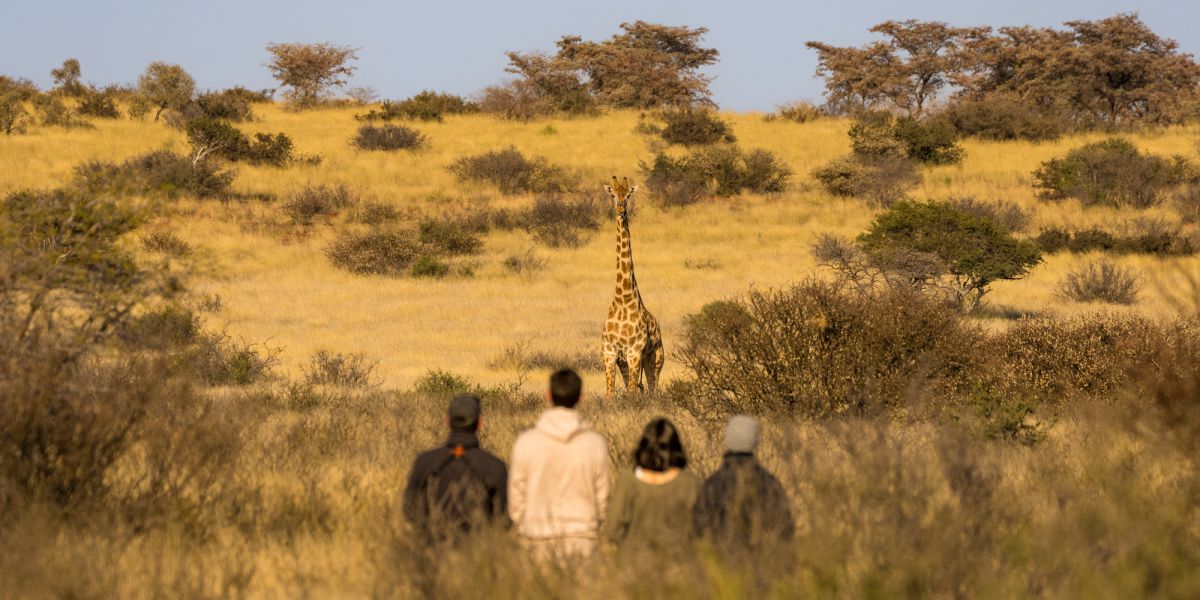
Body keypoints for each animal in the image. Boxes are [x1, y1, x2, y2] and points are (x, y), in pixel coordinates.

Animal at [600, 175, 667, 396]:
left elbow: (631, 393)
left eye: (628, 194)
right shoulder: (610, 354)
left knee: (652, 390)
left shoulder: (634, 354)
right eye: (612, 194)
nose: (620, 208)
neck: (623, 299)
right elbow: (610, 395)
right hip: (625, 364)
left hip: (655, 359)